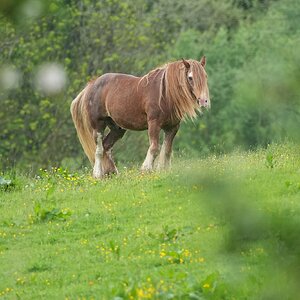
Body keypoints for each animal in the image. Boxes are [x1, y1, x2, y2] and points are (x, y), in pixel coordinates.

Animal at [71, 56, 210, 178]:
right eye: (190, 77)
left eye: (205, 76)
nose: (204, 101)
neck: (165, 93)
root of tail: (91, 86)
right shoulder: (154, 124)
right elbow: (154, 148)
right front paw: (146, 169)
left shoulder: (172, 127)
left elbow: (167, 150)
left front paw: (164, 170)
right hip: (98, 125)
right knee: (99, 150)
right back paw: (98, 175)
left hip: (117, 128)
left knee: (106, 146)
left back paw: (112, 173)